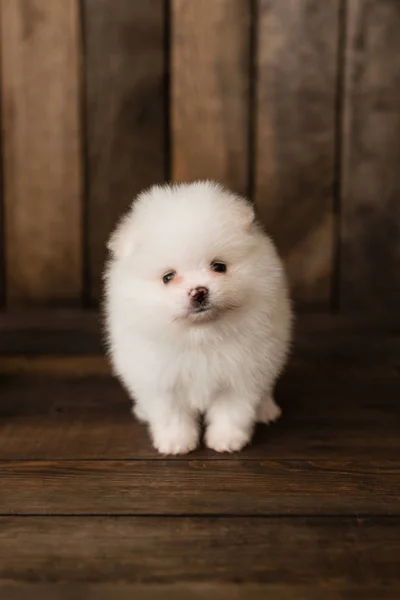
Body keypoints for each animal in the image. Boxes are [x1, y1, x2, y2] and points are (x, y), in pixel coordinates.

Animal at [104, 182, 290, 454]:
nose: (199, 291)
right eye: (168, 277)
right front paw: (176, 442)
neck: (200, 335)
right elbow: (171, 414)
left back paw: (266, 409)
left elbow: (232, 412)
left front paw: (226, 440)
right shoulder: (162, 380)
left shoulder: (240, 375)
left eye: (219, 266)